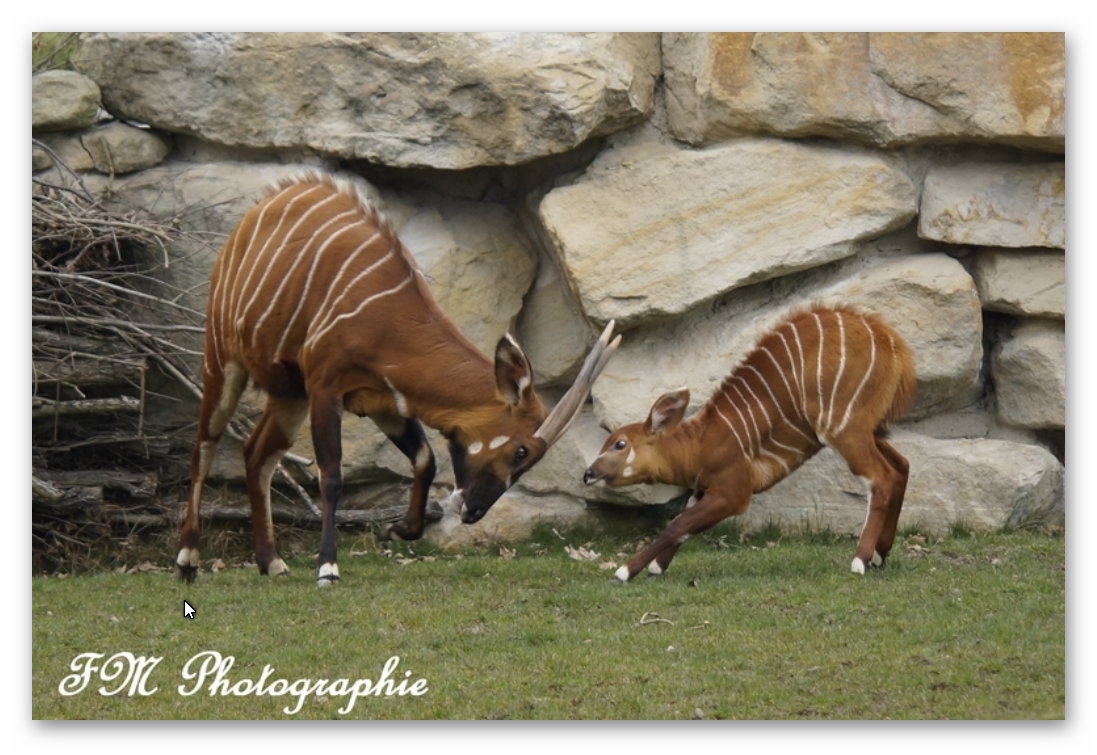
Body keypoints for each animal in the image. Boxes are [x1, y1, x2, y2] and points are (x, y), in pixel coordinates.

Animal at [181, 174, 627, 588]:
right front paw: (328, 567)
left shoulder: (383, 402)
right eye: (522, 450)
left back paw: (271, 561)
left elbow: (425, 459)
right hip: (224, 362)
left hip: (288, 393)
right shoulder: (326, 388)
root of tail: (257, 211)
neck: (389, 316)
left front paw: (397, 529)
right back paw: (188, 559)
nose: (474, 511)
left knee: (257, 453)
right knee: (204, 446)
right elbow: (332, 475)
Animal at [583, 302, 917, 579]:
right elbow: (683, 522)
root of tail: (892, 344)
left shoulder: (734, 491)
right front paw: (656, 567)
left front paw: (626, 571)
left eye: (620, 444)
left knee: (881, 477)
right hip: (869, 430)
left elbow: (678, 524)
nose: (588, 474)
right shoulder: (704, 490)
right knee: (901, 466)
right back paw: (880, 555)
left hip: (843, 430)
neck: (700, 442)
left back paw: (860, 560)